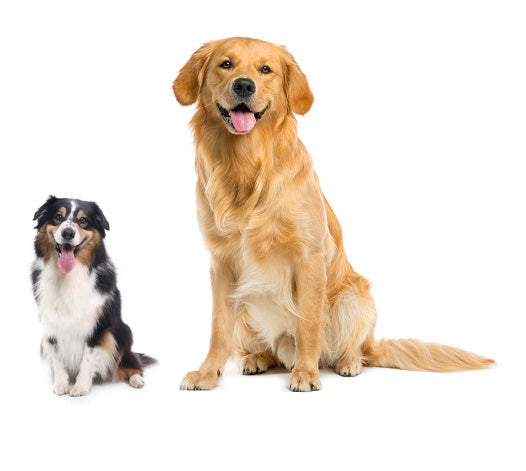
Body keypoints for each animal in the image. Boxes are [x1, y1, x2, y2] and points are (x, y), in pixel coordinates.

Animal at [31, 196, 155, 398]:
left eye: (83, 220)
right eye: (58, 217)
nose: (67, 233)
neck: (69, 276)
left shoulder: (98, 325)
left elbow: (88, 358)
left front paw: (80, 387)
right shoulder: (51, 325)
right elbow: (57, 358)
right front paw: (61, 385)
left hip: (121, 331)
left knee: (131, 361)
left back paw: (136, 379)